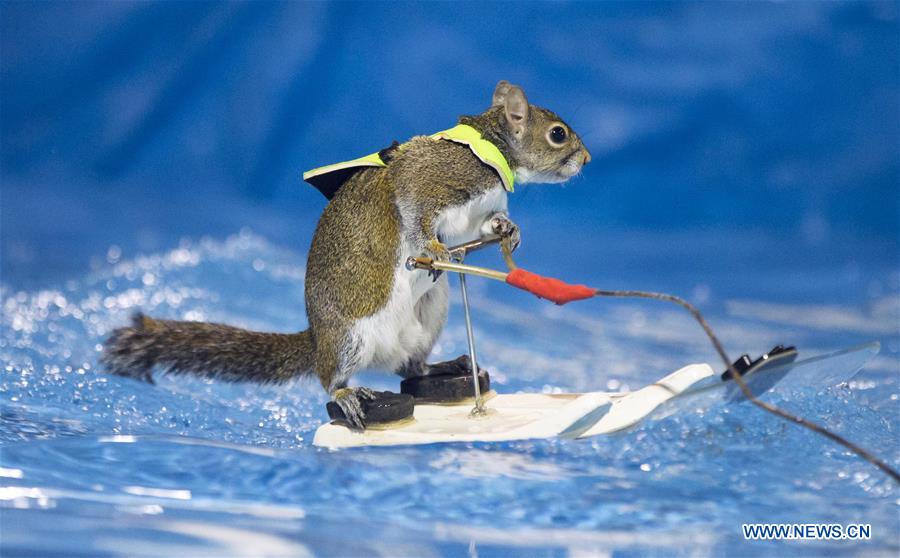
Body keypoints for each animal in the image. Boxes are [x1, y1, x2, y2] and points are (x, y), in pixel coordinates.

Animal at [102, 80, 592, 428]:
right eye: (557, 134)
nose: (586, 159)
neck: (491, 151)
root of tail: (318, 340)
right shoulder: (430, 179)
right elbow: (414, 210)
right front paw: (434, 247)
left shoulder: (473, 215)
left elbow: (483, 227)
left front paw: (509, 229)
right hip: (348, 339)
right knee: (332, 379)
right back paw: (346, 396)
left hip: (429, 316)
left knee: (411, 367)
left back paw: (444, 368)